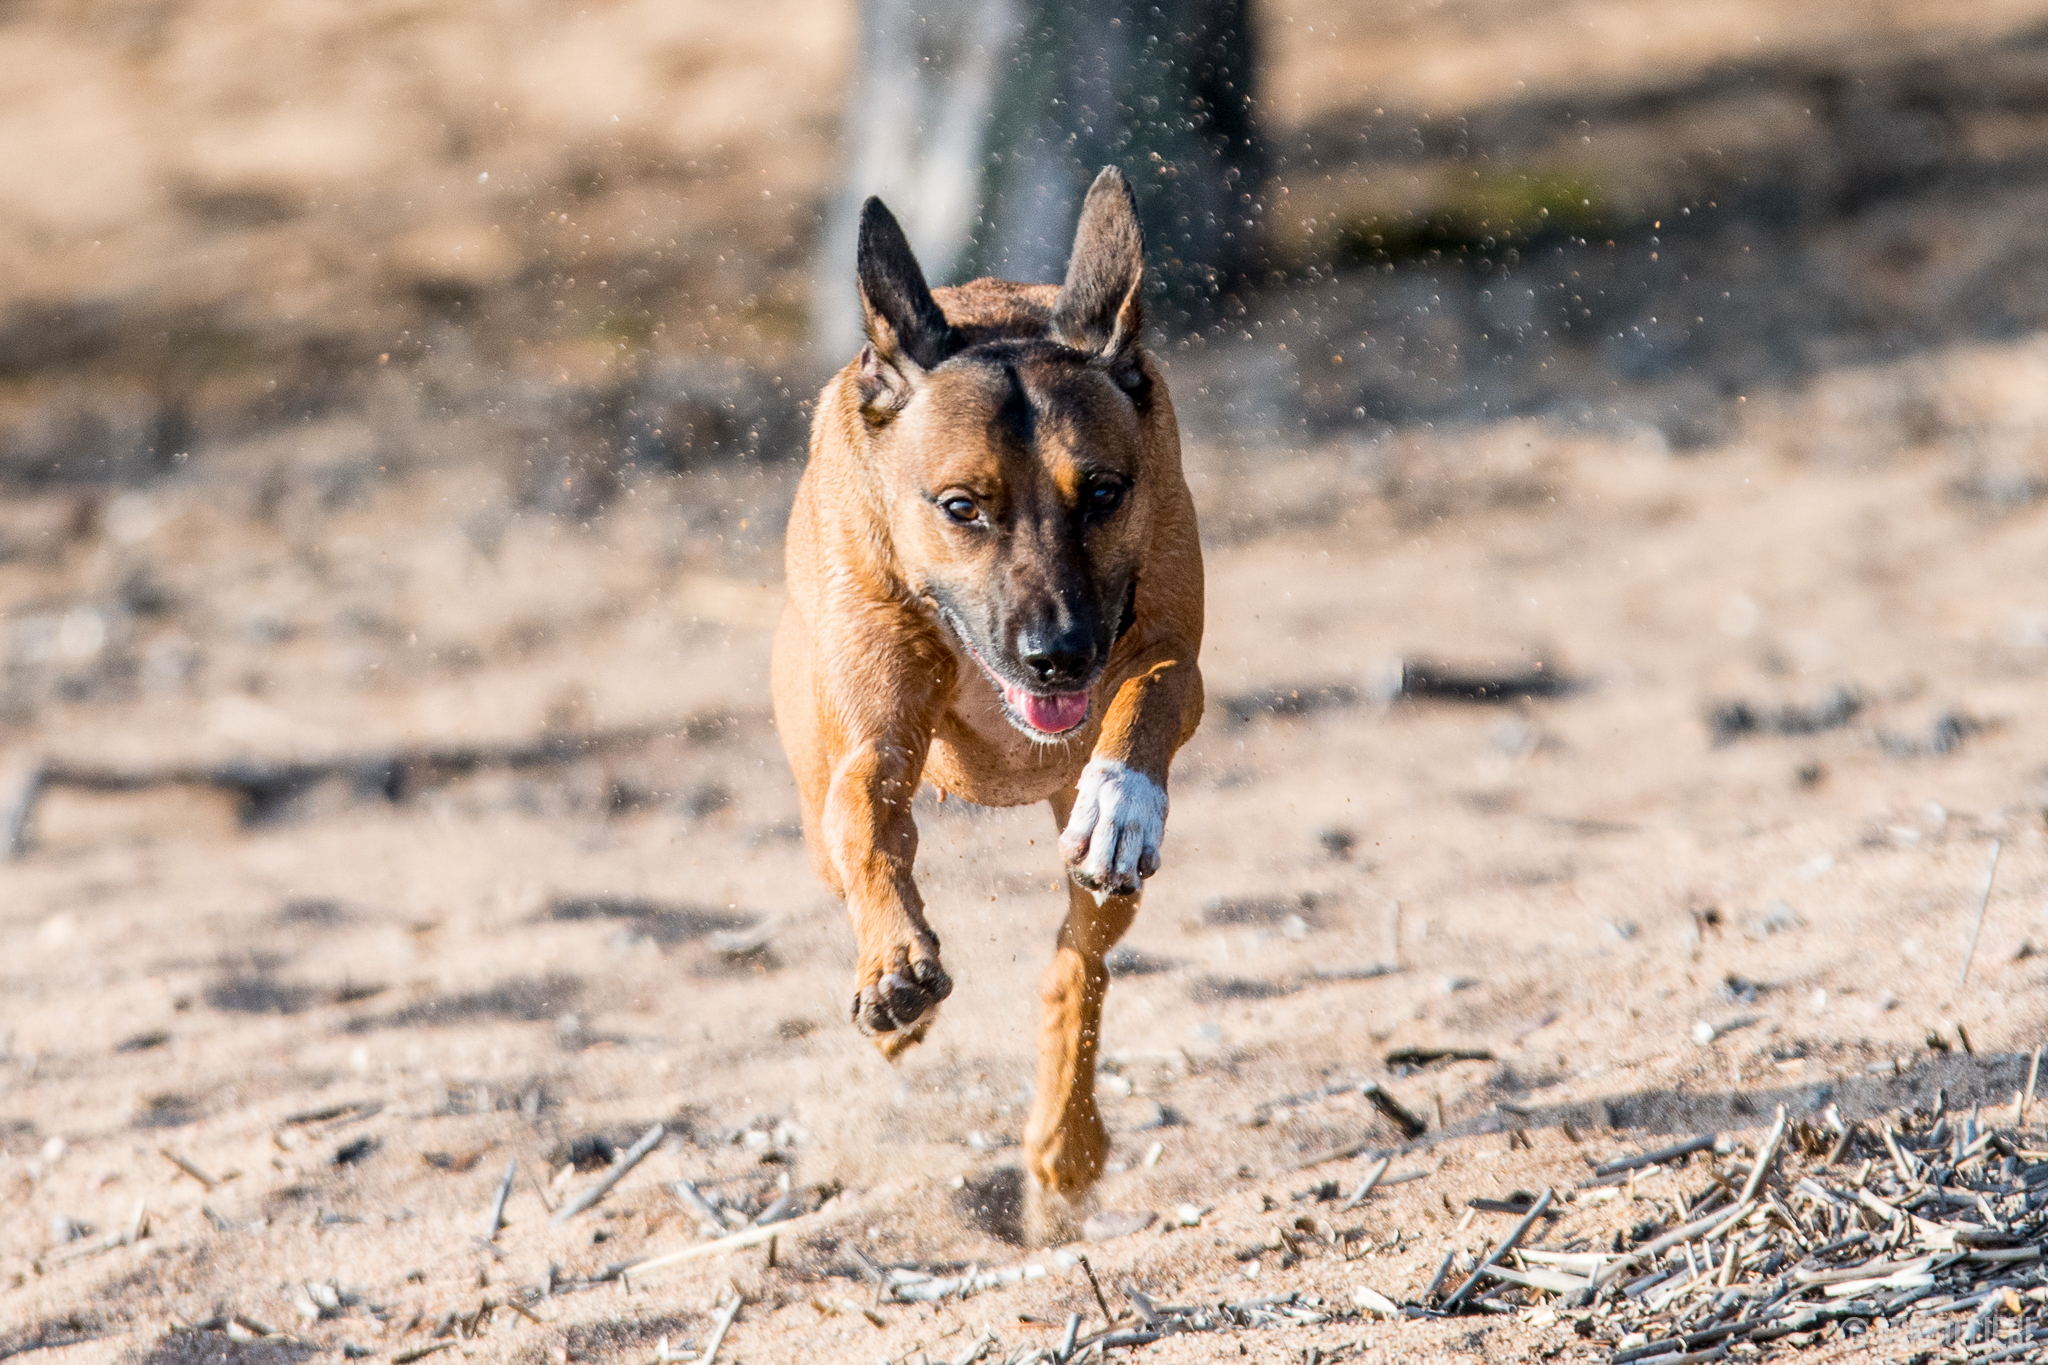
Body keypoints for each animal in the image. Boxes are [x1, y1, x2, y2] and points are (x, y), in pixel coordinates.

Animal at [771, 166, 1205, 1210]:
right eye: (961, 506)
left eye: (1105, 490)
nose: (1059, 656)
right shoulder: (874, 732)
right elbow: (865, 810)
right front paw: (895, 962)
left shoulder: (1172, 649)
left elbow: (1154, 689)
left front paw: (1125, 798)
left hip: (1089, 867)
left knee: (1078, 960)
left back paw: (1064, 1138)